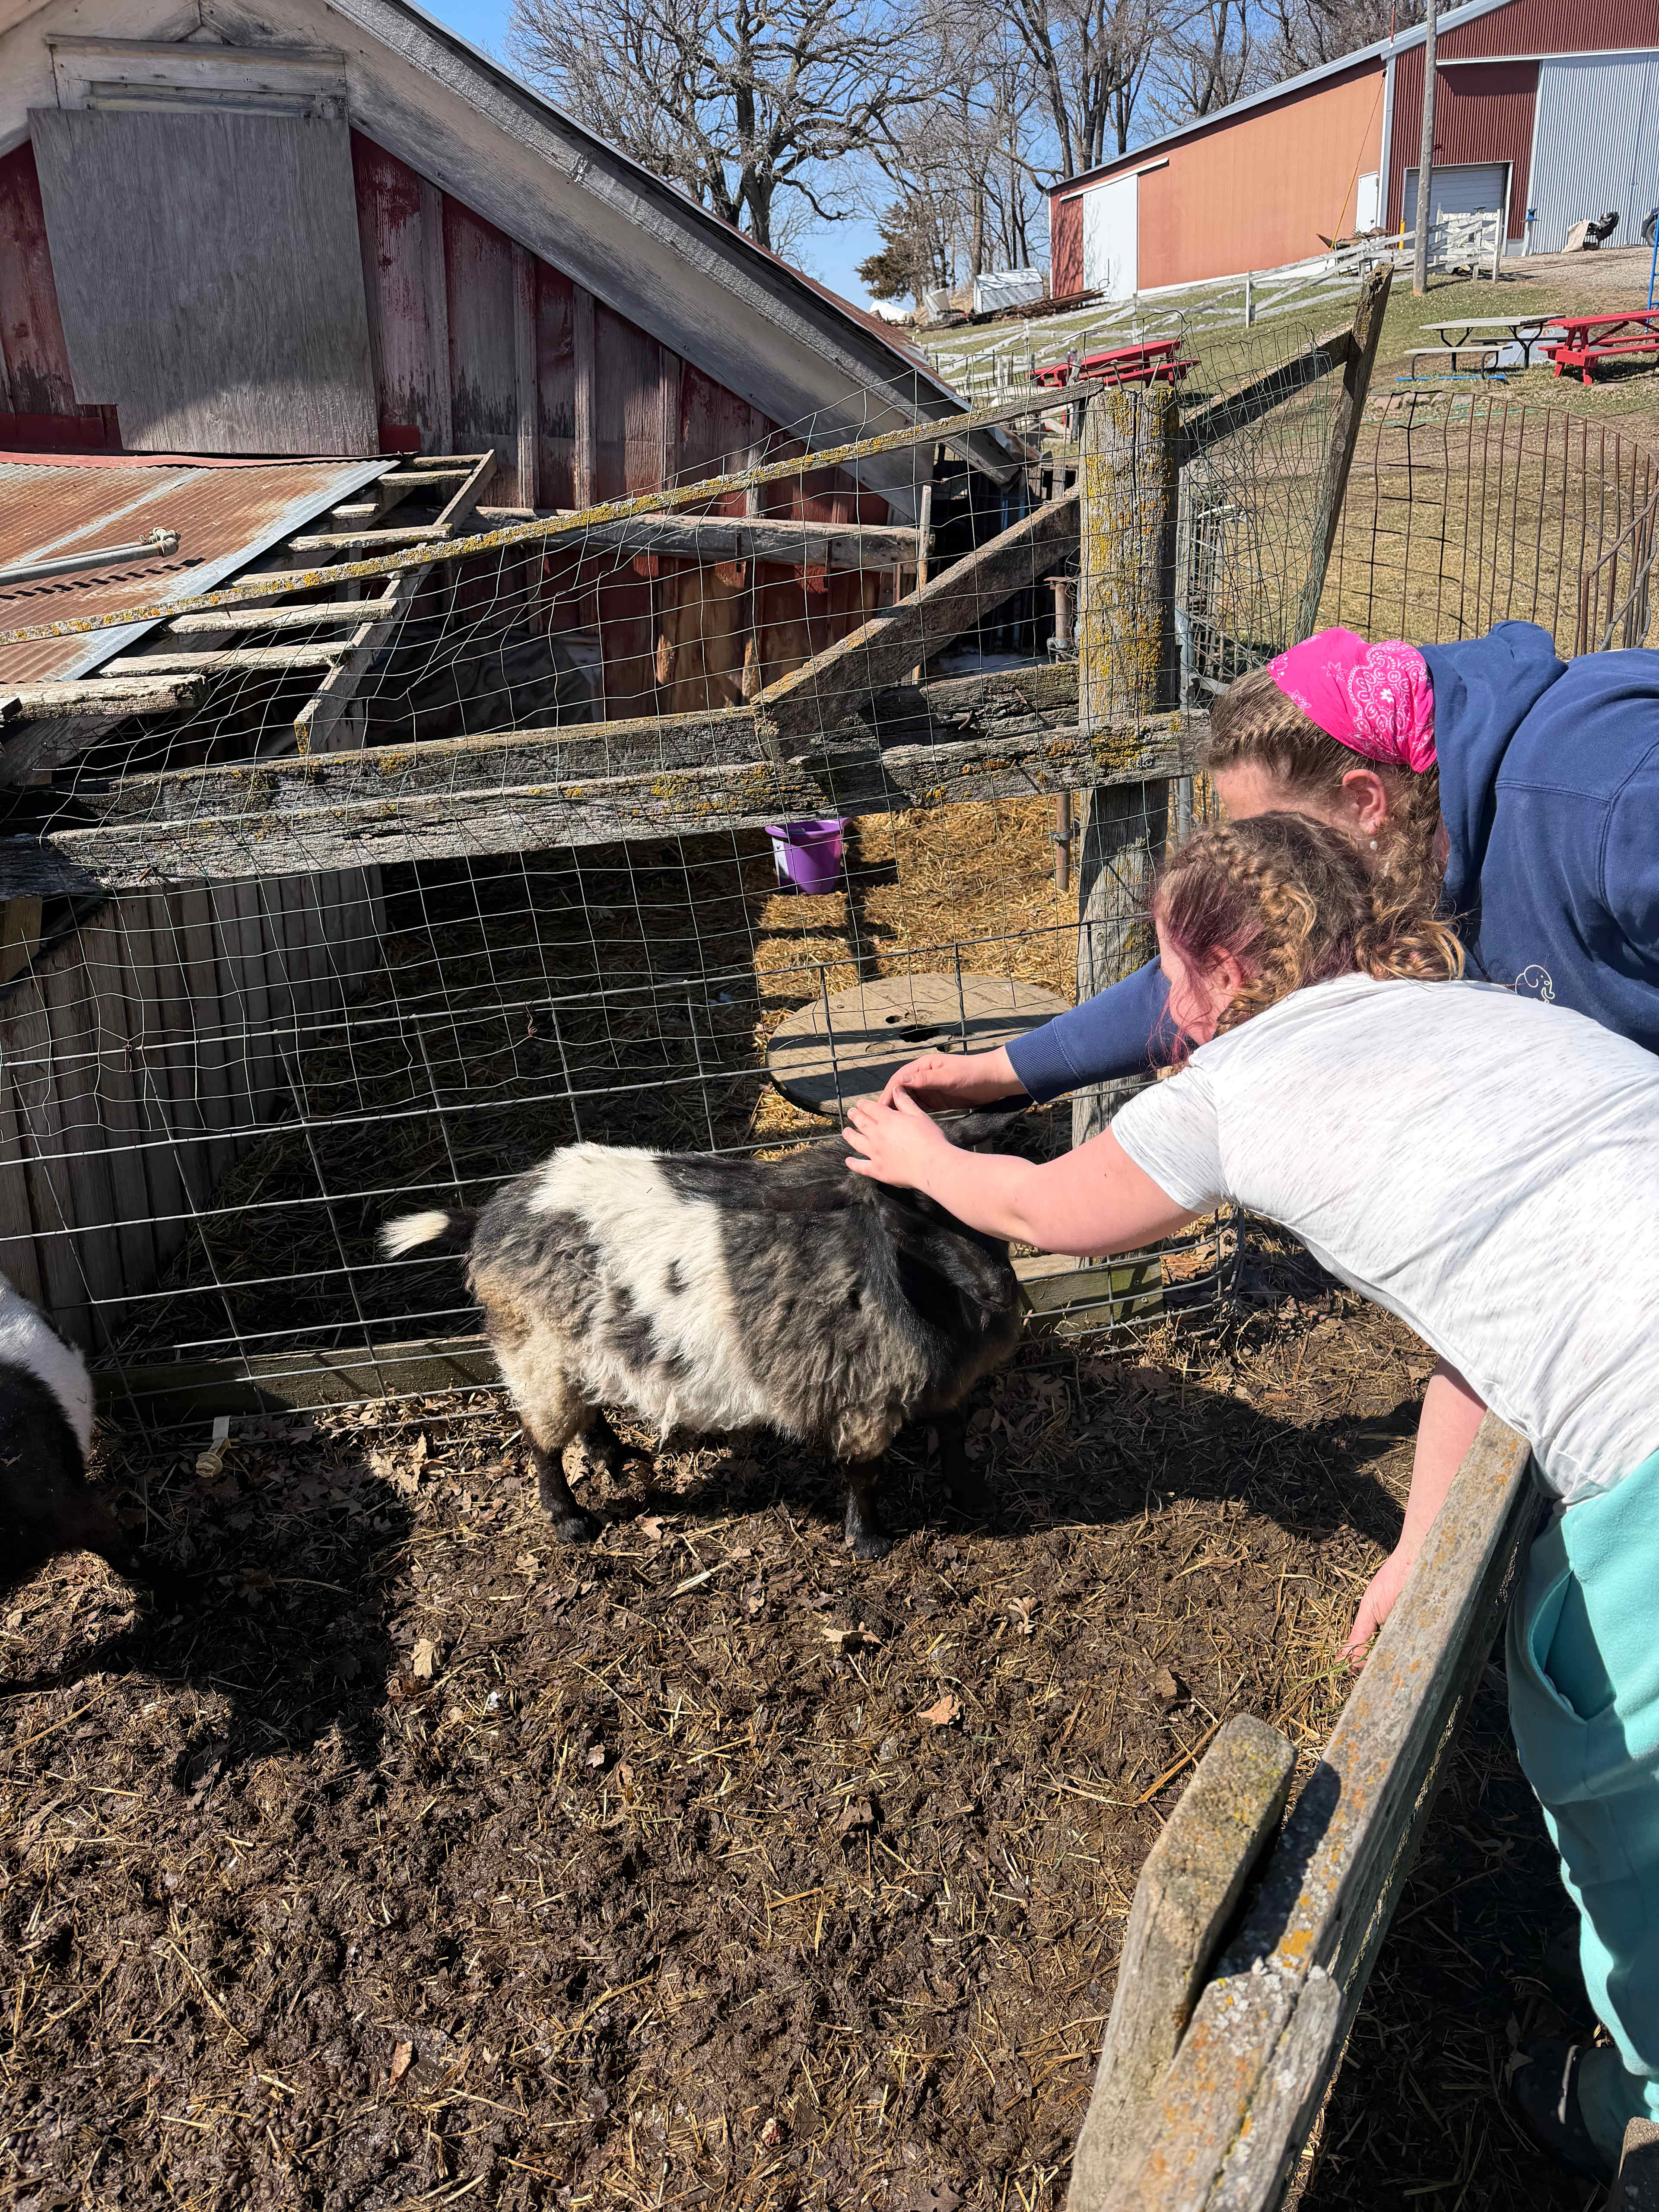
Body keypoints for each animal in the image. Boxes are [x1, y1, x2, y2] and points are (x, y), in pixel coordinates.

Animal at [380, 1113, 1028, 1558]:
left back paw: (616, 1455)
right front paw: (868, 1542)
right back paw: (570, 1520)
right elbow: (864, 1474)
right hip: (533, 1347)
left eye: (978, 1186)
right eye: (899, 1219)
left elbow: (954, 1434)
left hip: (575, 1347)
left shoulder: (945, 1379)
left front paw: (973, 1495)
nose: (1000, 1290)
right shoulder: (861, 1395)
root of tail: (486, 1217)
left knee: (586, 1406)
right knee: (541, 1440)